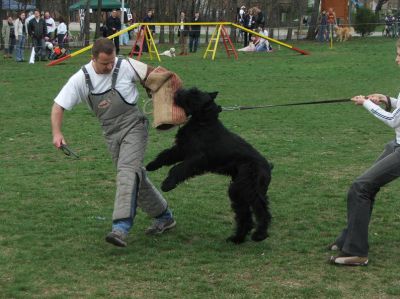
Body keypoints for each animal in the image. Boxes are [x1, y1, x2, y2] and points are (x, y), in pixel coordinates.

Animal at [145, 88, 274, 245]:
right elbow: (165, 155)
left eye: (194, 94)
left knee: (262, 210)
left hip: (250, 190)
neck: (203, 122)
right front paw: (151, 165)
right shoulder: (182, 149)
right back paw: (237, 238)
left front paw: (167, 184)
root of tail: (268, 167)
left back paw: (260, 235)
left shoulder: (197, 158)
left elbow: (177, 168)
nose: (178, 91)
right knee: (245, 215)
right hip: (238, 191)